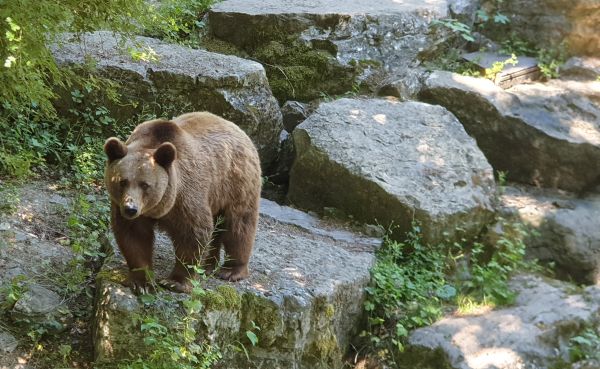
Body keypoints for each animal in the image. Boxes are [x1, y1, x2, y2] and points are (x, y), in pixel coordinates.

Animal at [102, 110, 260, 292]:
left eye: (145, 184)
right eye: (122, 181)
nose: (130, 208)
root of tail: (239, 130)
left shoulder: (185, 196)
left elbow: (192, 233)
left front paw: (175, 281)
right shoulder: (127, 209)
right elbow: (134, 236)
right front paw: (142, 282)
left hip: (236, 184)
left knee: (238, 225)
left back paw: (231, 270)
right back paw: (208, 265)